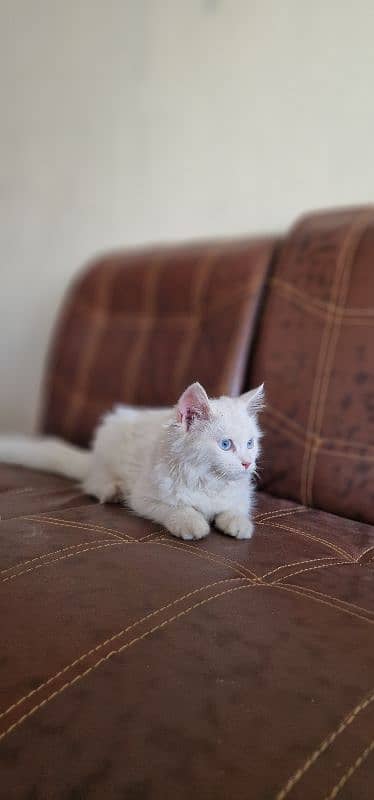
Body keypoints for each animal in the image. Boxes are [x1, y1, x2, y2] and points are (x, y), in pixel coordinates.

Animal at [0, 382, 264, 544]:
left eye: (250, 443)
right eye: (225, 445)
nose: (247, 463)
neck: (207, 481)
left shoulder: (241, 495)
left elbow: (235, 508)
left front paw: (239, 525)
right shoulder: (145, 498)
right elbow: (178, 508)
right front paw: (193, 524)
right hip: (108, 447)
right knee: (93, 482)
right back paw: (113, 491)